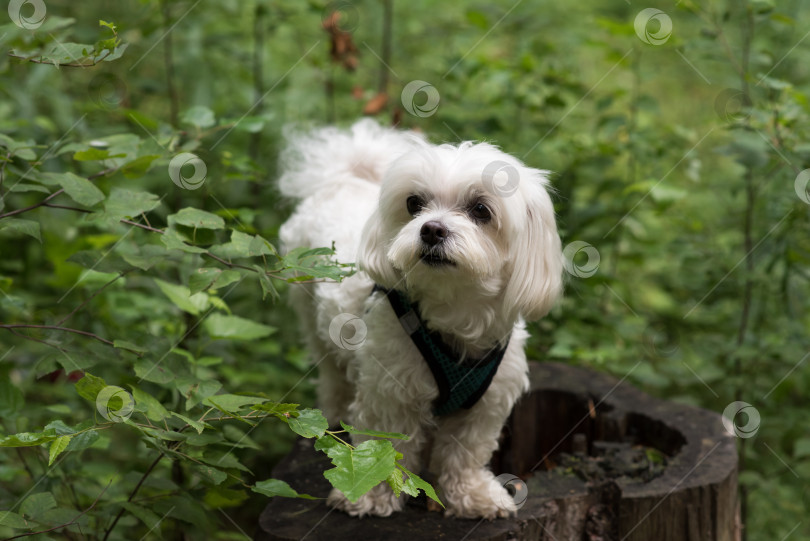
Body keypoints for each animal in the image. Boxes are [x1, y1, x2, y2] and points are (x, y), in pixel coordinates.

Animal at [274, 119, 560, 520]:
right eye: (414, 203)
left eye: (481, 210)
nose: (432, 229)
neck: (454, 309)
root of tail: (348, 177)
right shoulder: (389, 392)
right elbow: (384, 447)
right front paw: (369, 495)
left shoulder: (486, 403)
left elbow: (465, 452)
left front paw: (472, 495)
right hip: (310, 313)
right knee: (332, 374)